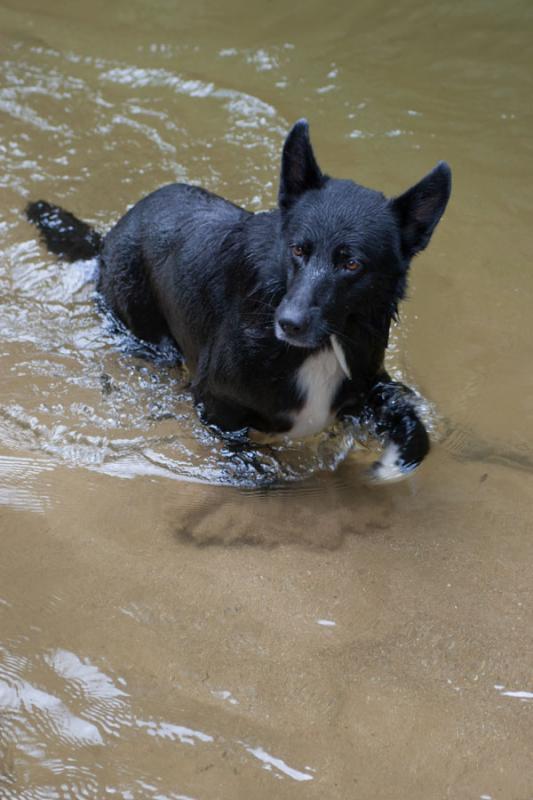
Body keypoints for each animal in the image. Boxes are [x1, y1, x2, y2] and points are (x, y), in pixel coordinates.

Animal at [25, 119, 448, 482]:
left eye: (353, 264)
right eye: (297, 249)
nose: (288, 323)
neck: (317, 349)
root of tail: (109, 237)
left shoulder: (368, 380)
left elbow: (409, 419)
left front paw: (397, 460)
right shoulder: (215, 403)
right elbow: (251, 462)